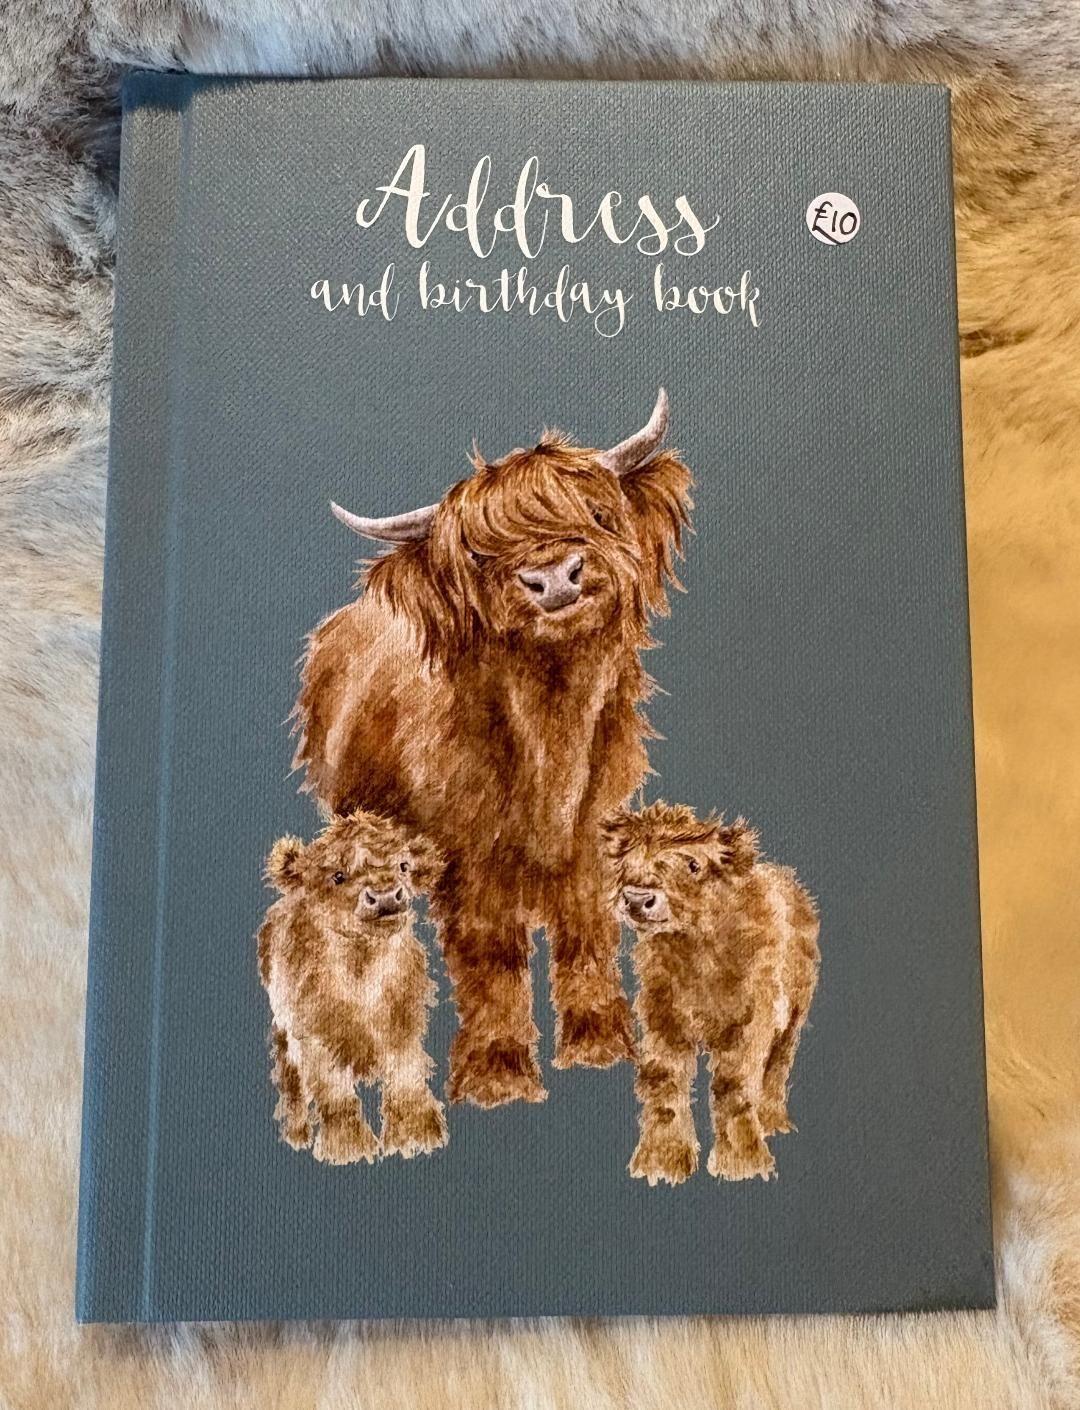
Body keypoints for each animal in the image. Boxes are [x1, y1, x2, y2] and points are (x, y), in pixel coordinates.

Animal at [292, 390, 693, 1108]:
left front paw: (598, 1042)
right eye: (479, 556)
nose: (555, 578)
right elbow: (492, 953)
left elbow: (587, 931)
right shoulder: (470, 861)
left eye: (597, 514)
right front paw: (496, 1072)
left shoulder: (592, 835)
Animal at [602, 802, 820, 1184]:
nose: (638, 898)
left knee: (777, 1068)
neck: (697, 955)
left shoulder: (751, 1021)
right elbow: (663, 1081)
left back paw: (772, 1122)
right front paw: (661, 1160)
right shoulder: (663, 1018)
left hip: (794, 1016)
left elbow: (733, 1085)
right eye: (629, 857)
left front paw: (742, 1161)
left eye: (694, 865)